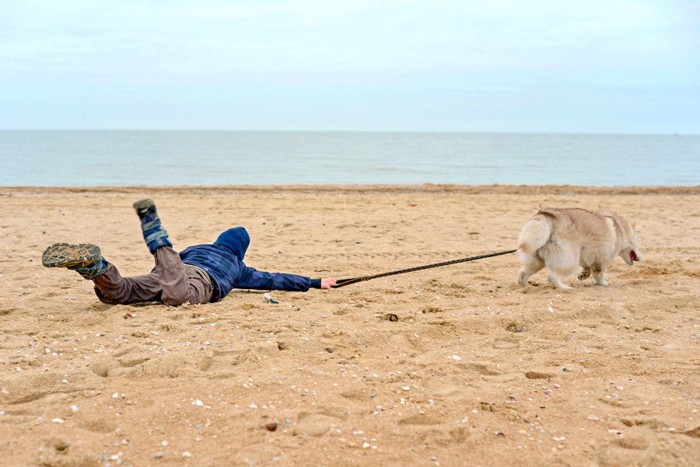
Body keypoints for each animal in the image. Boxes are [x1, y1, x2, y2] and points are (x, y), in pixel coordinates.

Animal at [516, 208, 644, 288]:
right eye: (636, 243)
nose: (641, 257)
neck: (621, 230)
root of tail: (547, 218)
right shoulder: (603, 261)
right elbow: (599, 274)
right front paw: (602, 283)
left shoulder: (588, 257)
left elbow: (588, 268)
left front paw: (583, 275)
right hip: (570, 262)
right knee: (552, 277)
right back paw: (565, 288)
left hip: (536, 262)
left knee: (522, 274)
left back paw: (525, 287)